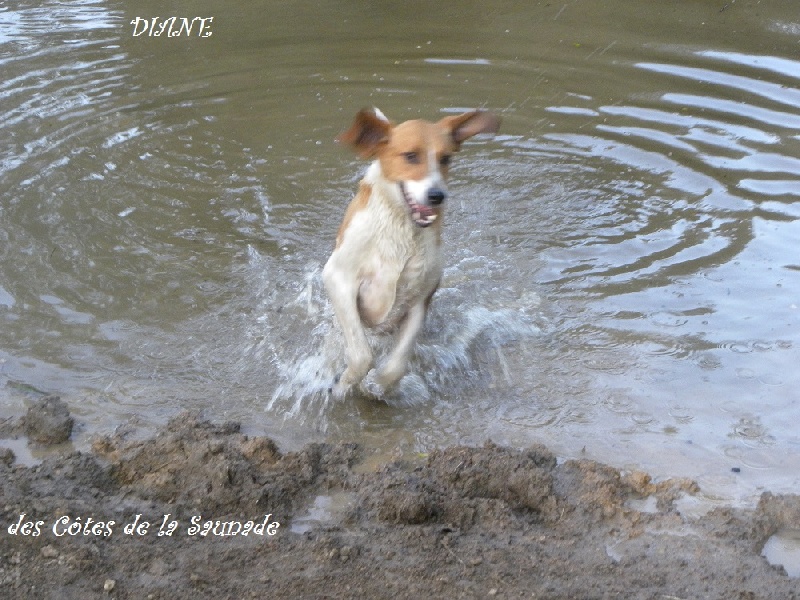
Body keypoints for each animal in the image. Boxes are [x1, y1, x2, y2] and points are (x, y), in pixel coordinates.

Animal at [323, 108, 500, 398]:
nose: (437, 195)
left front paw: (380, 386)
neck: (401, 230)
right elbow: (361, 355)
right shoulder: (339, 279)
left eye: (445, 158)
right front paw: (344, 385)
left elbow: (398, 364)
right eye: (410, 156)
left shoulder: (420, 298)